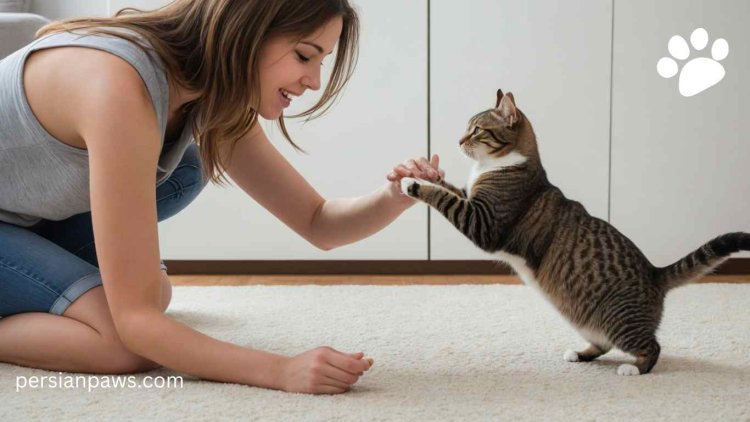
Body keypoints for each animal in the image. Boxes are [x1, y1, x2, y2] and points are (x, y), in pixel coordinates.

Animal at [402, 90, 750, 376]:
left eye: (476, 129)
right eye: (467, 127)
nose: (458, 140)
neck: (495, 166)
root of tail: (655, 272)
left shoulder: (482, 221)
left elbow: (443, 198)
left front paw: (412, 184)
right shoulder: (470, 197)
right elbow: (449, 187)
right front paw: (422, 172)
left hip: (618, 318)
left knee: (651, 347)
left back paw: (633, 368)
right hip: (581, 317)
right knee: (604, 343)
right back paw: (580, 355)